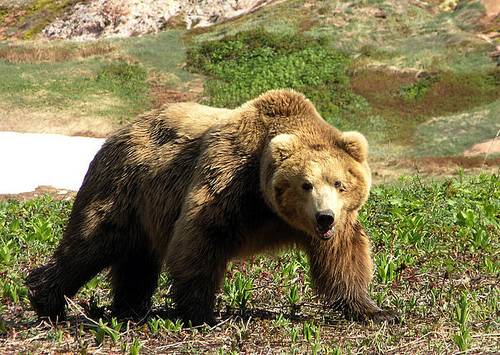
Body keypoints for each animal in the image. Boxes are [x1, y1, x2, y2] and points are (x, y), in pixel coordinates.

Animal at [27, 88, 396, 326]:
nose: (324, 218)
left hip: (146, 207)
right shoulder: (229, 180)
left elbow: (344, 258)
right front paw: (202, 314)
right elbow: (199, 239)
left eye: (339, 183)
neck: (268, 206)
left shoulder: (335, 222)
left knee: (136, 257)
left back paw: (129, 306)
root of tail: (117, 133)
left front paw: (375, 311)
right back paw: (46, 298)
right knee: (91, 240)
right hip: (124, 187)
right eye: (305, 184)